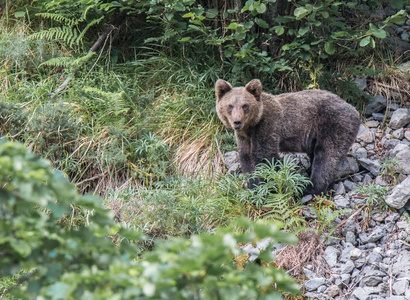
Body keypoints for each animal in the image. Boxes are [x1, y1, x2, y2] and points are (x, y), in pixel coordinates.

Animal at [216, 79, 360, 196]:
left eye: (245, 105)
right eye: (230, 105)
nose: (237, 122)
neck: (251, 127)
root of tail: (353, 109)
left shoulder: (267, 126)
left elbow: (264, 156)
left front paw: (268, 187)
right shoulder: (244, 137)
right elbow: (246, 158)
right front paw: (252, 187)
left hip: (333, 125)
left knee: (326, 156)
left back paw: (311, 187)